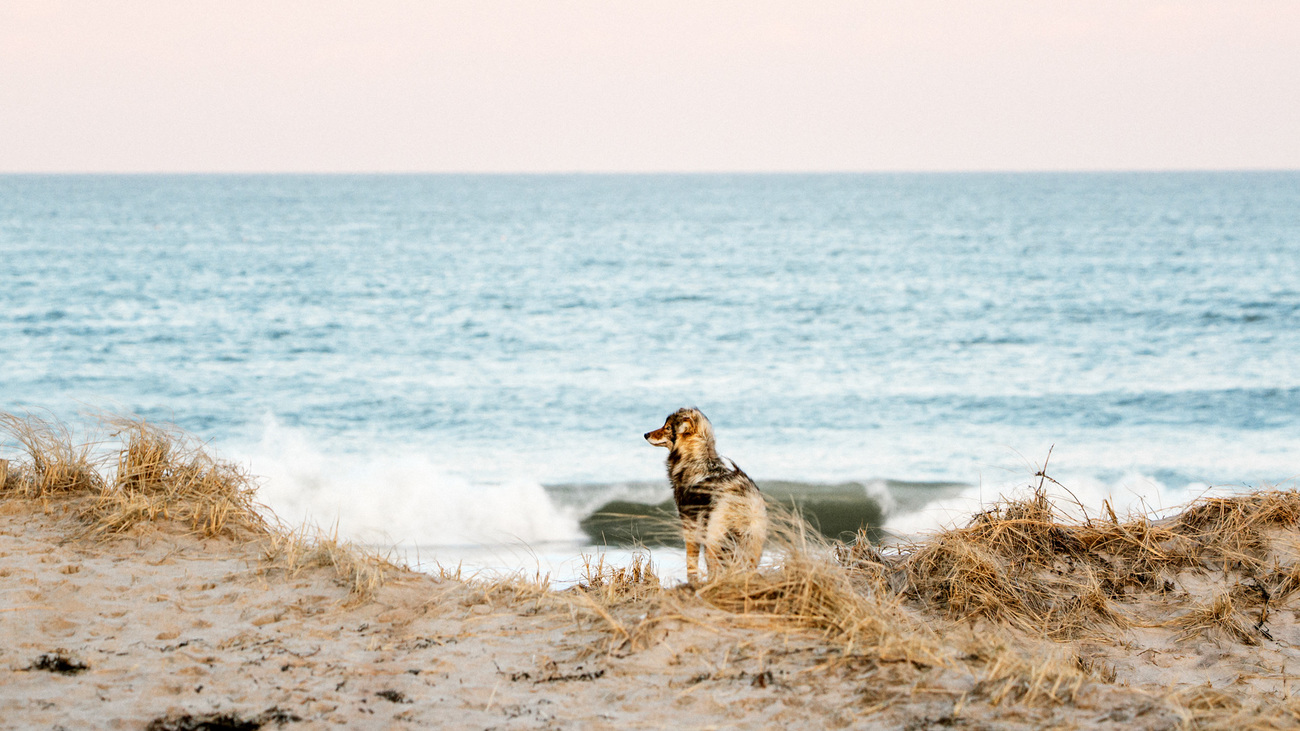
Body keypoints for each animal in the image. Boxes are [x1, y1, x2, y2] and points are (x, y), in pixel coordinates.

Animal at [644, 403, 764, 580]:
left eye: (667, 428)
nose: (645, 434)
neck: (697, 460)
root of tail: (743, 502)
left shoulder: (690, 526)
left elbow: (691, 563)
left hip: (712, 545)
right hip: (749, 549)